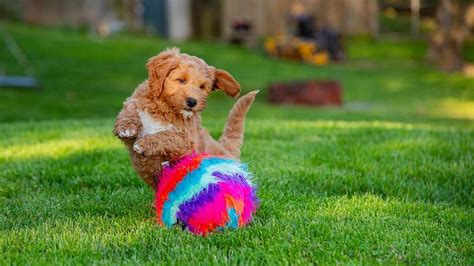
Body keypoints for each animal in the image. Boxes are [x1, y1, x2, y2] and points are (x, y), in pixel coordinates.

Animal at [113, 48, 258, 189]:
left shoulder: (186, 140)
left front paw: (144, 143)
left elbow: (167, 136)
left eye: (202, 87)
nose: (192, 102)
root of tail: (227, 151)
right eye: (181, 80)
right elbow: (129, 112)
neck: (164, 108)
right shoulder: (135, 103)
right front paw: (125, 128)